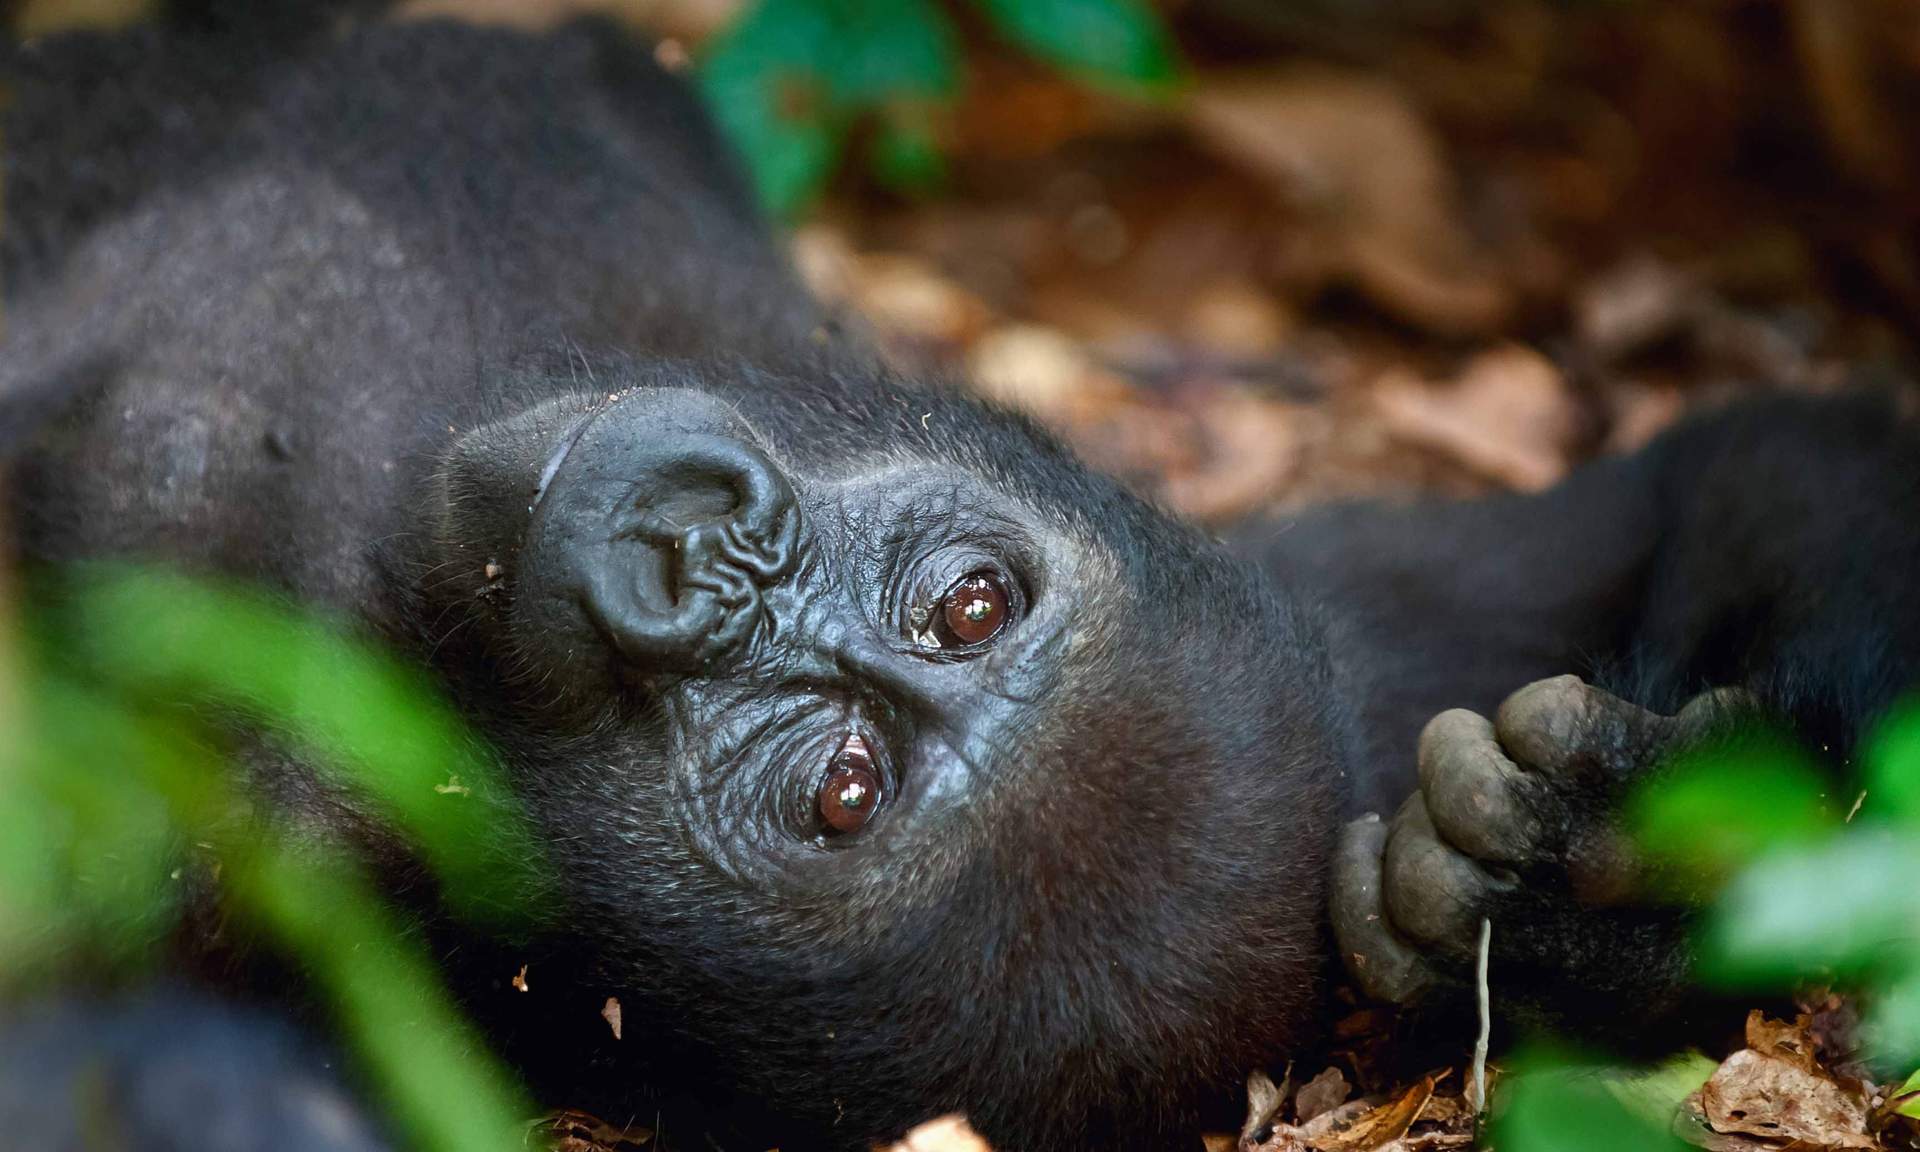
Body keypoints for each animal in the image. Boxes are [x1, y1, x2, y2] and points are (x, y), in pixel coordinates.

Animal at [0, 9, 1912, 1152]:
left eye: (840, 789)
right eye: (972, 605)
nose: (683, 558)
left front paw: (1596, 902)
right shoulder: (1335, 635)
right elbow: (1737, 473)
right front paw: (1620, 860)